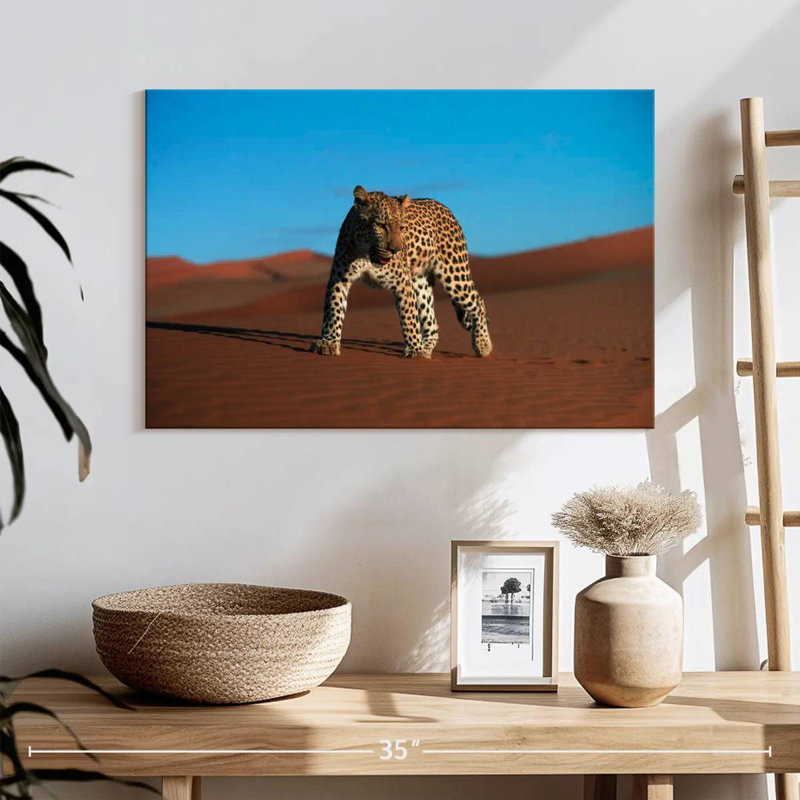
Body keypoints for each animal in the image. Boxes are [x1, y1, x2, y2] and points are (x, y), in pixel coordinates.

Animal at [310, 185, 492, 359]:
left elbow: (409, 317)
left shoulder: (402, 283)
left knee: (478, 302)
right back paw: (426, 349)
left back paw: (482, 344)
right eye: (381, 225)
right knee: (432, 323)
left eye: (402, 227)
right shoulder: (339, 279)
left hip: (454, 274)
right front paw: (328, 342)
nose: (396, 250)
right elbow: (334, 310)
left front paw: (415, 350)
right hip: (420, 282)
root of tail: (446, 208)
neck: (367, 254)